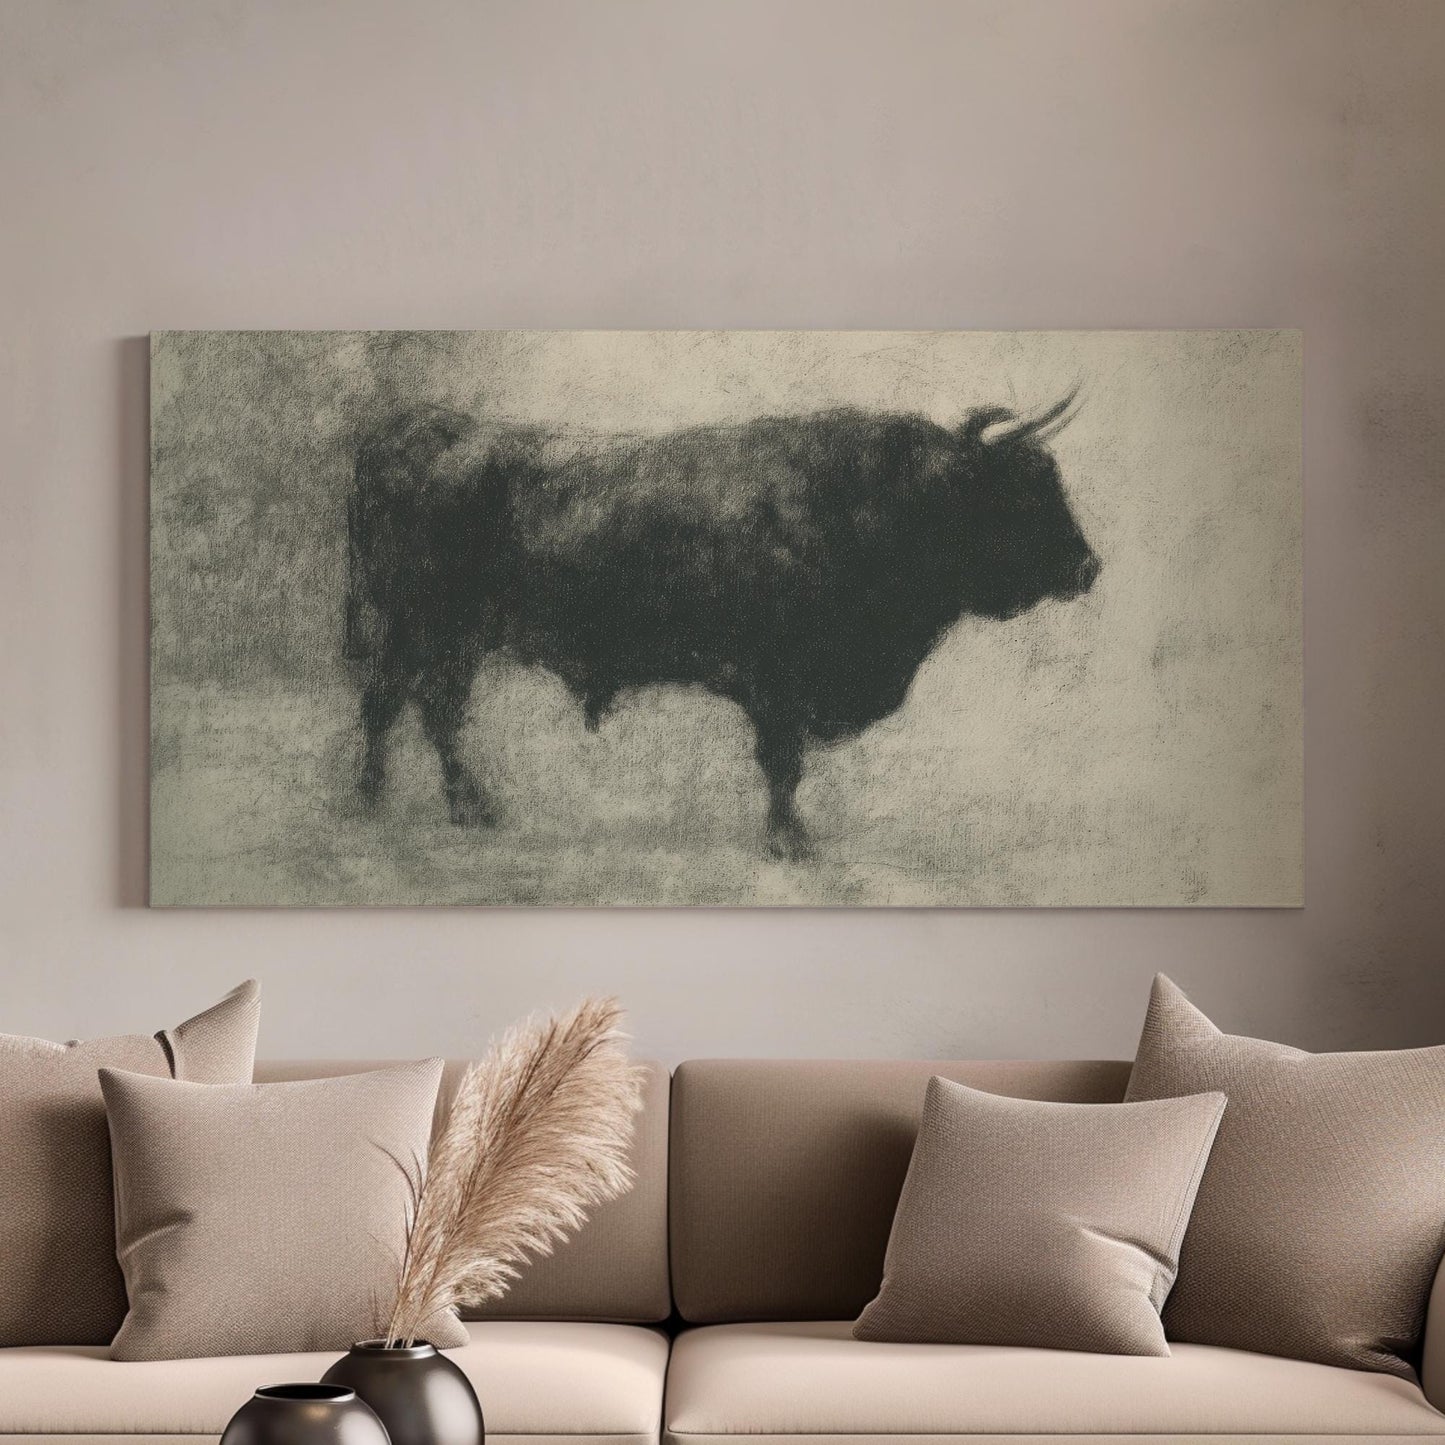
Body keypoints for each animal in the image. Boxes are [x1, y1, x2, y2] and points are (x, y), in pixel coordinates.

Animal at [343, 391, 1099, 859]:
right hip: (421, 626)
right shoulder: (778, 685)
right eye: (1018, 491)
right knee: (395, 701)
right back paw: (380, 803)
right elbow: (783, 764)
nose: (1088, 566)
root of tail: (413, 428)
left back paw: (455, 808)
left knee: (429, 707)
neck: (877, 497)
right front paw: (791, 842)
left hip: (455, 638)